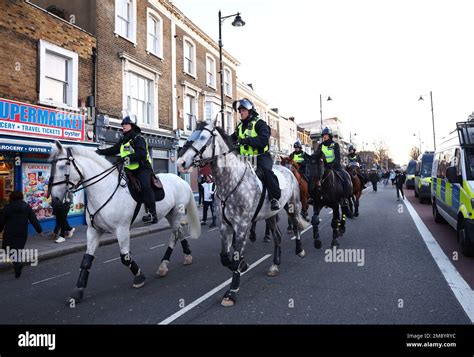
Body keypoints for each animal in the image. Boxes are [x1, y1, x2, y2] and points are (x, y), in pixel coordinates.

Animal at [49, 140, 201, 302]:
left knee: (175, 234)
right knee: (178, 232)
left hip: (176, 213)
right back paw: (179, 259)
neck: (104, 189)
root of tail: (182, 181)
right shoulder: (93, 230)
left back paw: (168, 263)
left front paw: (139, 277)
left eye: (62, 165)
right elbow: (87, 259)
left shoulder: (121, 229)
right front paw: (78, 291)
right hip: (170, 214)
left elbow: (125, 257)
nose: (55, 201)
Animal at [177, 119, 308, 306]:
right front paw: (243, 266)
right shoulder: (225, 225)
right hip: (270, 215)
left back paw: (300, 250)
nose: (180, 162)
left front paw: (232, 291)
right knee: (278, 236)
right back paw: (275, 265)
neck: (230, 182)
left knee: (296, 225)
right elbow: (225, 257)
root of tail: (289, 171)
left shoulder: (242, 225)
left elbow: (236, 256)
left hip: (293, 206)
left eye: (203, 137)